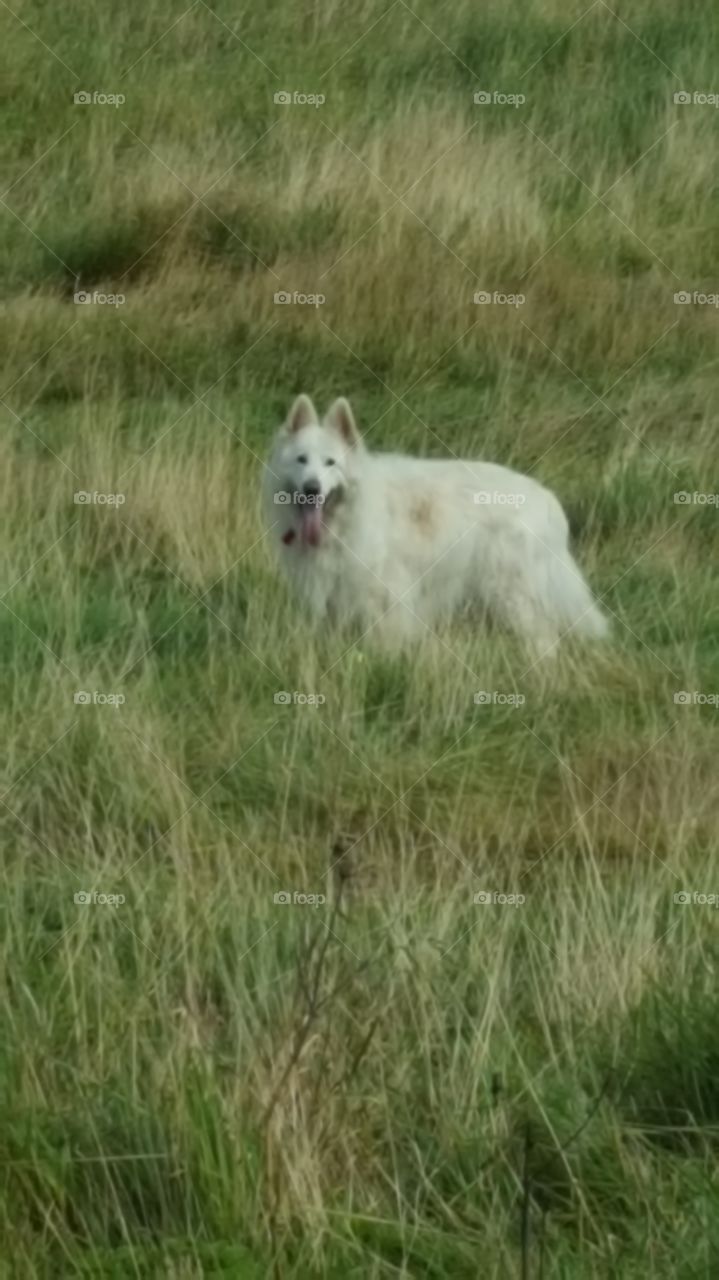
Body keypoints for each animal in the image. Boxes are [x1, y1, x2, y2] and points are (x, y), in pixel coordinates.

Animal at [266, 394, 606, 655]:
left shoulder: (385, 595)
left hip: (513, 594)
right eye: (301, 460)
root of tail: (548, 500)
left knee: (544, 639)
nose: (312, 489)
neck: (347, 516)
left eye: (330, 463)